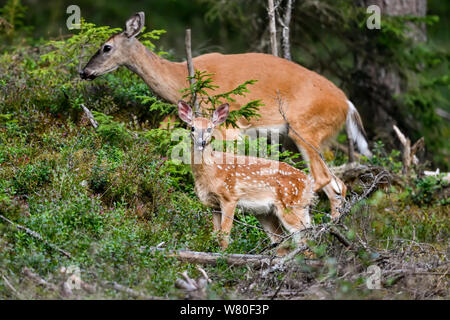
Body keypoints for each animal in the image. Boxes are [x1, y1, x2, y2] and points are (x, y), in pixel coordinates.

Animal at [79, 11, 370, 219]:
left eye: (106, 47)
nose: (84, 71)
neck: (181, 78)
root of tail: (348, 104)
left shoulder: (228, 126)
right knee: (337, 185)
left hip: (305, 127)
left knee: (324, 179)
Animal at [178, 100, 314, 255]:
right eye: (192, 127)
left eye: (209, 128)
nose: (201, 143)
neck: (212, 171)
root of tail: (309, 182)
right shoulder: (213, 204)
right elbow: (215, 234)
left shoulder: (230, 196)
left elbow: (224, 235)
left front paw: (224, 256)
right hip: (267, 213)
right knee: (282, 241)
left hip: (291, 205)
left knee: (305, 240)